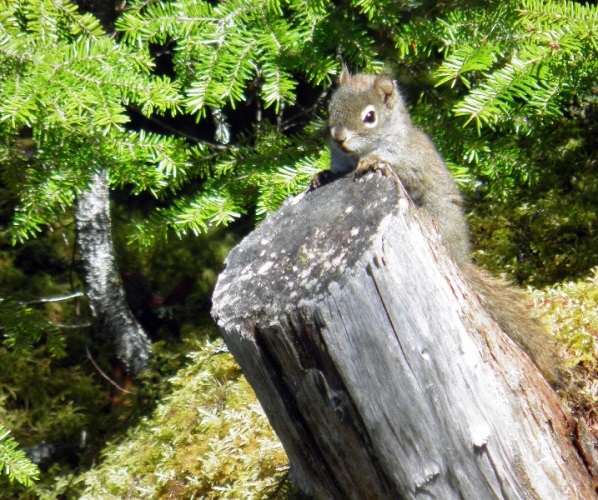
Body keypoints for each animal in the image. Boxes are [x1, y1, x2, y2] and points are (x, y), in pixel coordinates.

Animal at [312, 69, 560, 382]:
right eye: (330, 108)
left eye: (370, 116)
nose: (338, 137)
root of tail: (460, 260)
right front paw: (320, 176)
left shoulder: (411, 163)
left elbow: (398, 168)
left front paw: (373, 162)